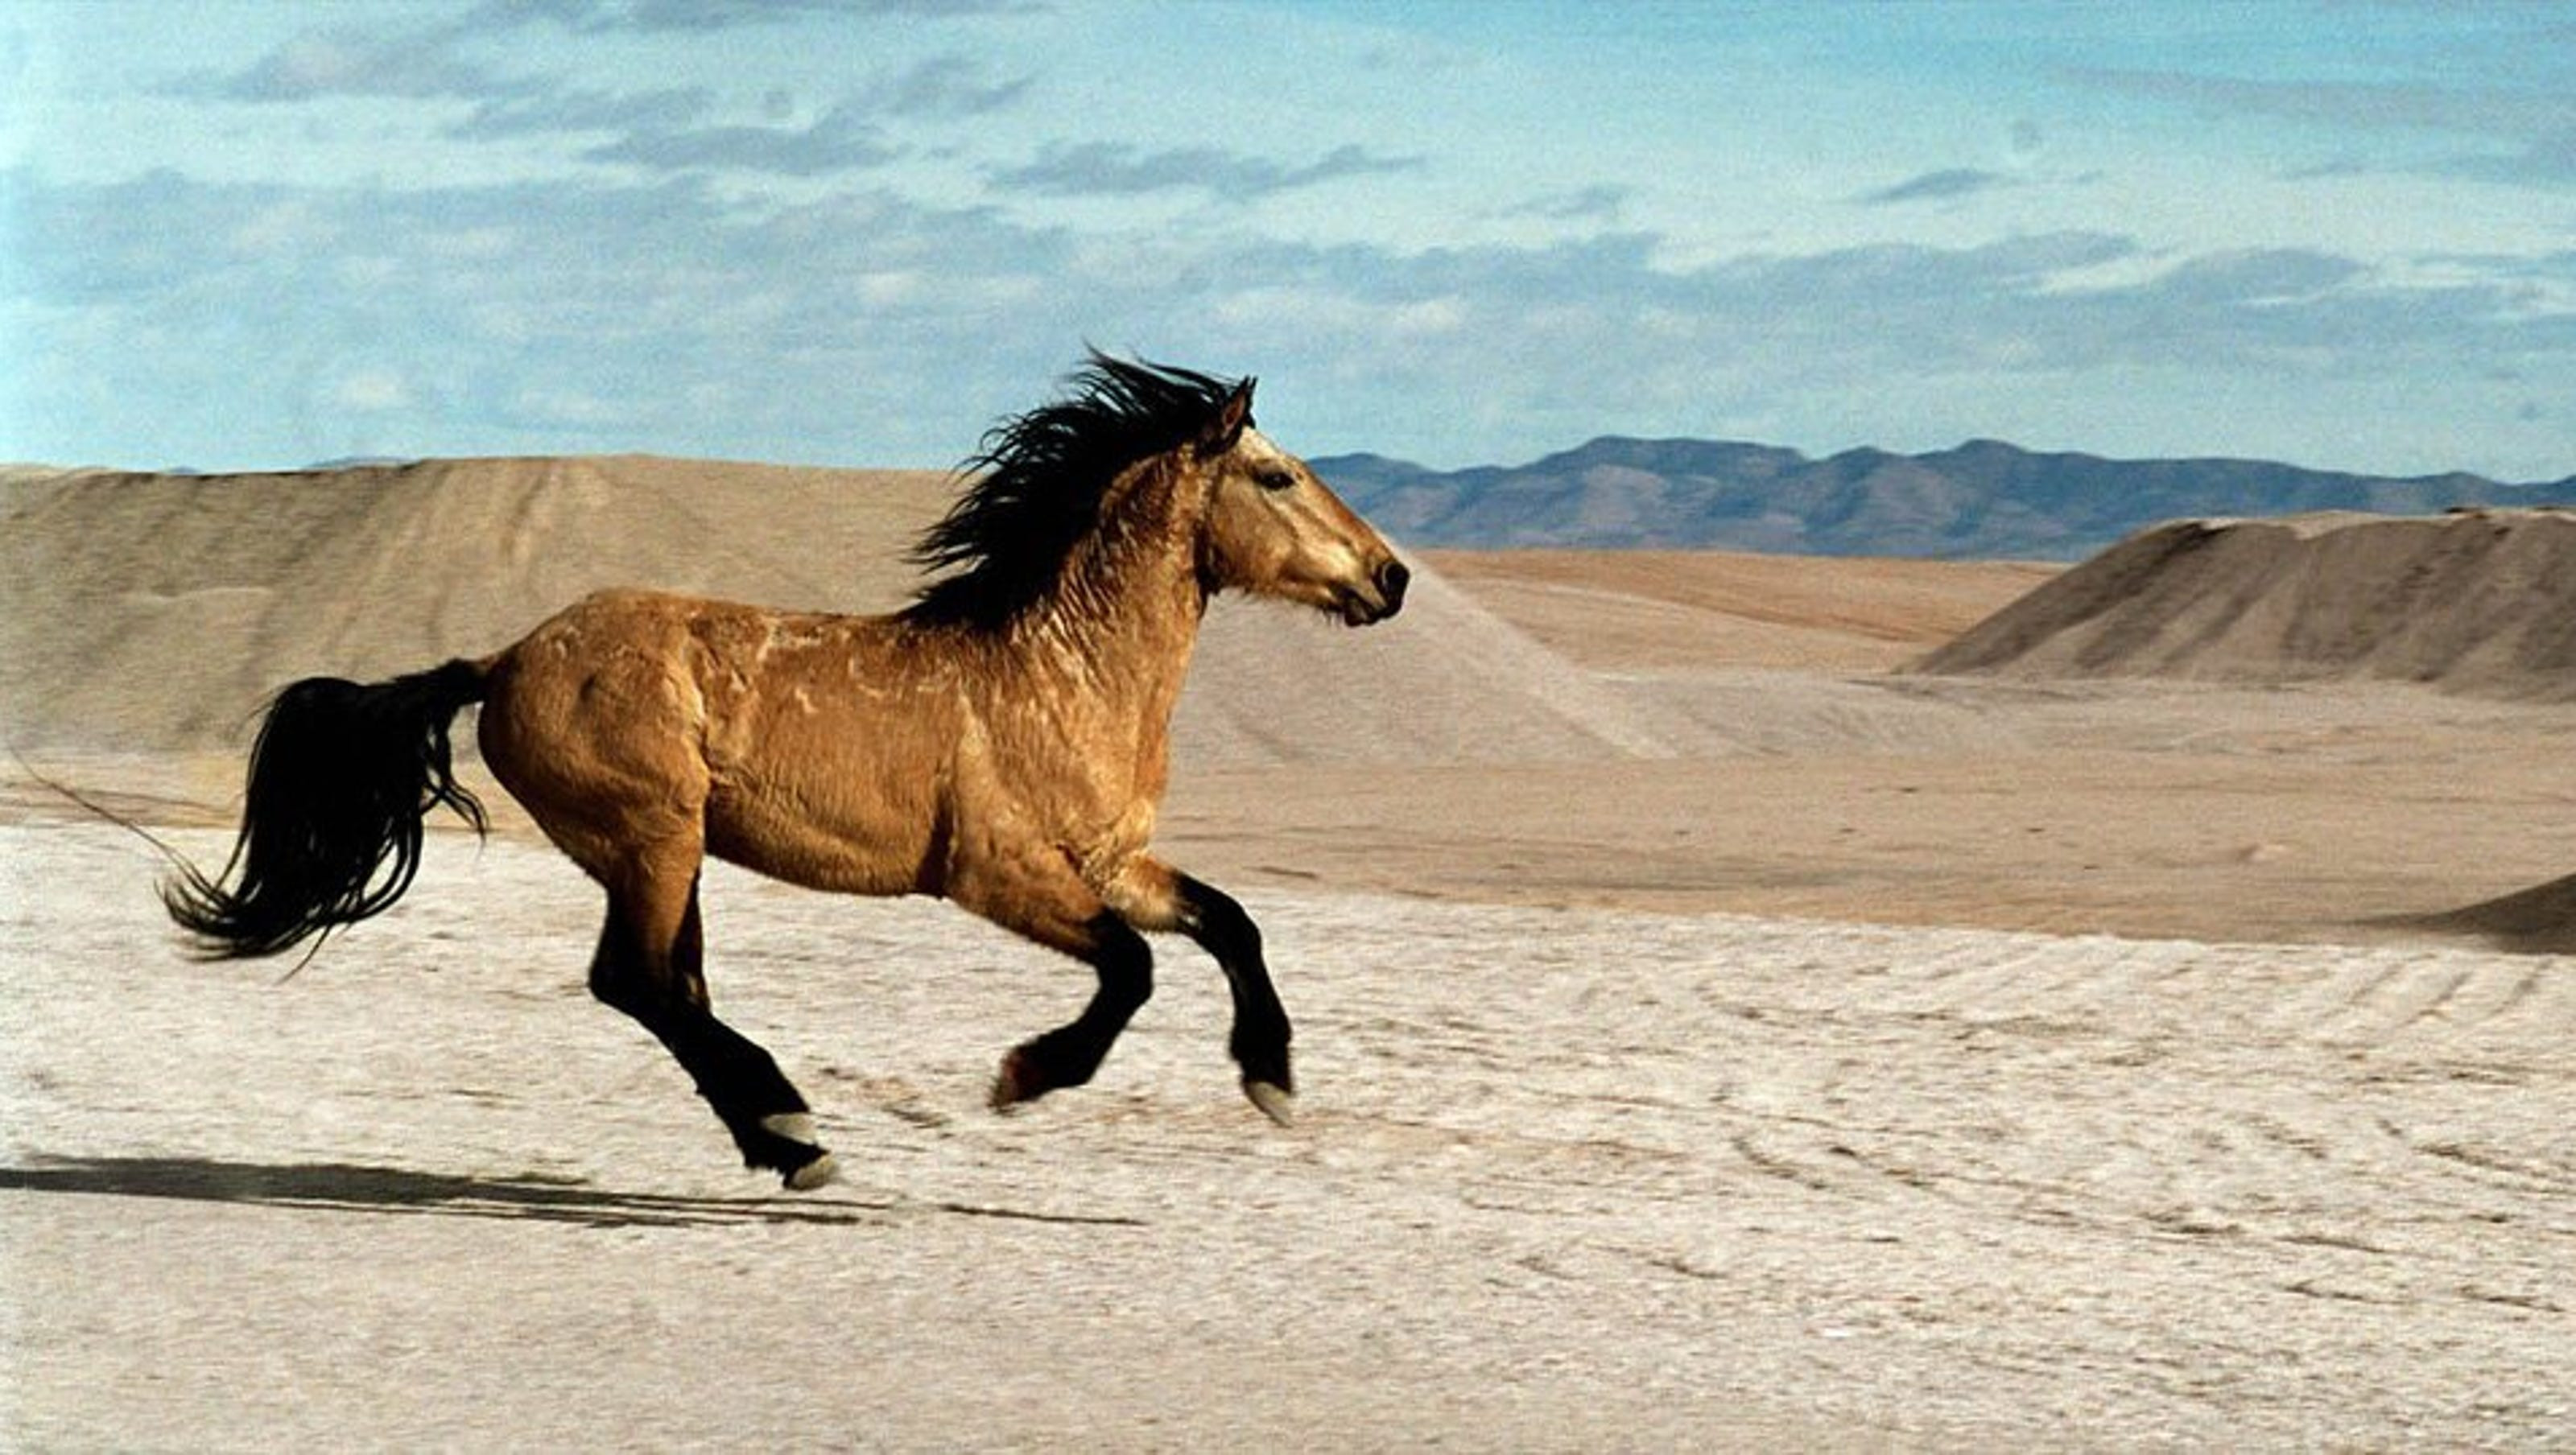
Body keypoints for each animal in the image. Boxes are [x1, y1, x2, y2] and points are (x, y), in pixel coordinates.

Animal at [166, 355, 1411, 1189]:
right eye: (1277, 476)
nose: (1390, 578)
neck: (1059, 670)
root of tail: (506, 658)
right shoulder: (998, 873)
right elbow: (1132, 969)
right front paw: (1025, 1076)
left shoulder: (1112, 861)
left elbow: (1229, 921)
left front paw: (1272, 1080)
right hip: (653, 837)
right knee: (639, 982)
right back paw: (797, 1134)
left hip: (671, 853)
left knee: (672, 986)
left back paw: (776, 1137)